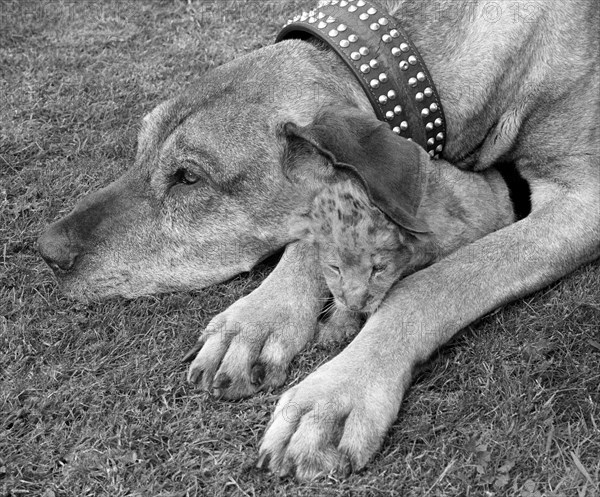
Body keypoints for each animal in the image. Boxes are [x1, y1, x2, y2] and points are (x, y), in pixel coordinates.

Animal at [38, 0, 600, 480]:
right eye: (140, 148)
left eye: (189, 178)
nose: (47, 251)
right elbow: (319, 228)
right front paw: (257, 319)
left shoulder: (575, 203)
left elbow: (434, 283)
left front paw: (339, 393)